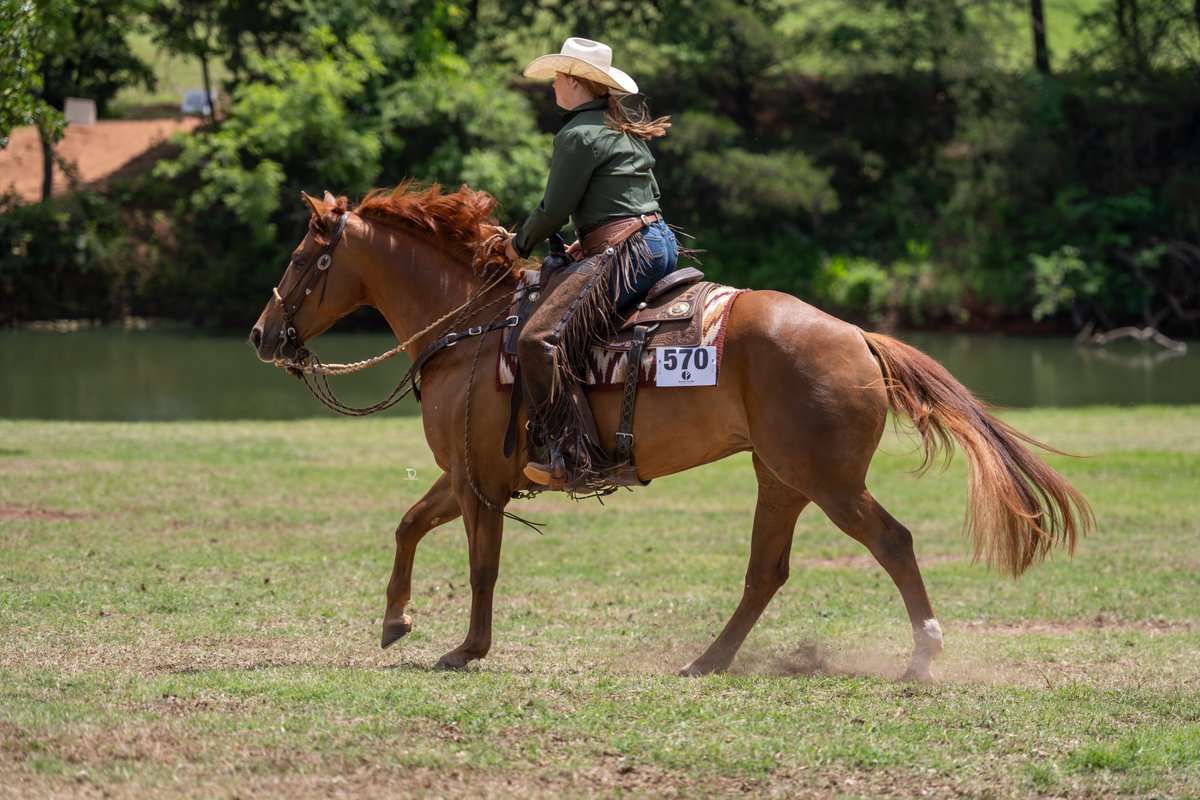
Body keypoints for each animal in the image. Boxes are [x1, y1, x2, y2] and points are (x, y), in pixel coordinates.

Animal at [250, 182, 1093, 681]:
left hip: (828, 482)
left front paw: (465, 648)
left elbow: (480, 566)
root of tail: (858, 334)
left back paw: (922, 658)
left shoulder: (479, 481)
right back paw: (709, 660)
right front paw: (396, 619)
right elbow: (408, 524)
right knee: (766, 573)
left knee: (892, 542)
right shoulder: (467, 476)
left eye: (301, 257)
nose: (262, 335)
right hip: (780, 479)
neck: (476, 328)